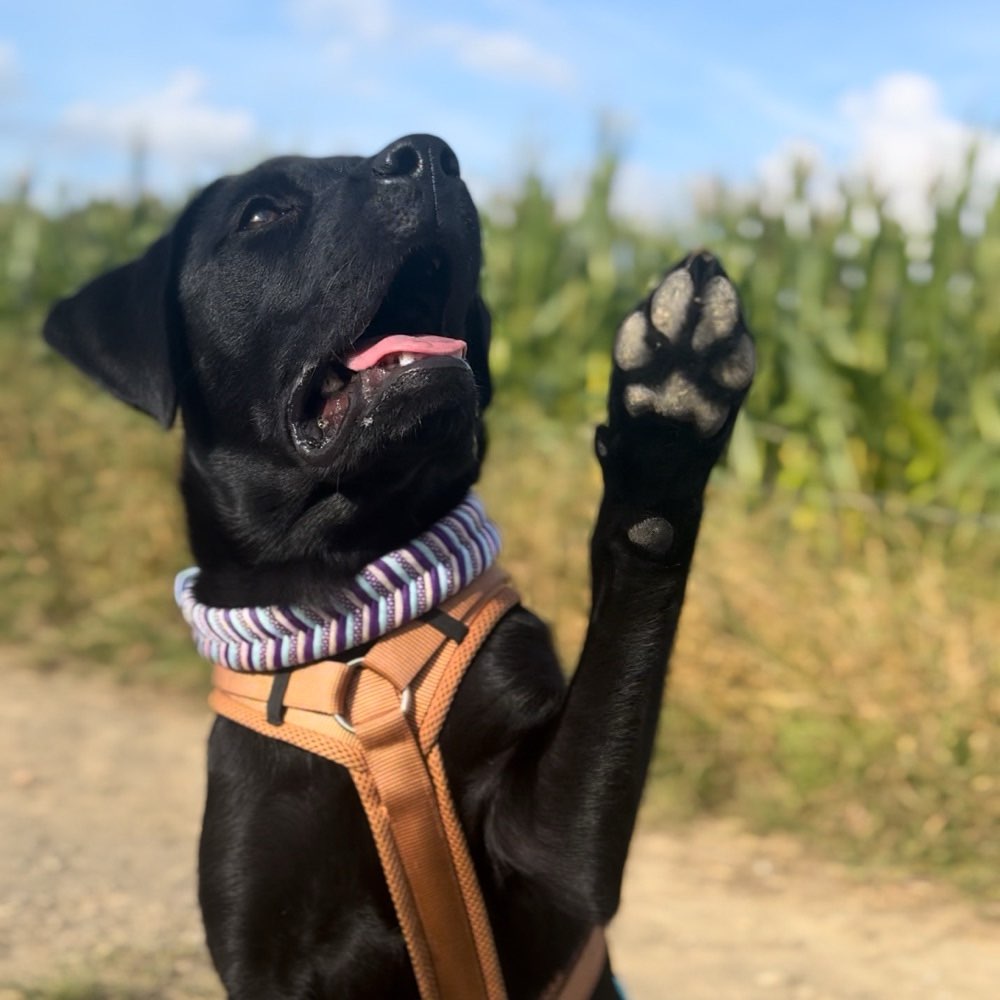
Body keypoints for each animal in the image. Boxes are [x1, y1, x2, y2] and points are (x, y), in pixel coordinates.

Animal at [43, 135, 752, 1000]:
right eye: (261, 213)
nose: (430, 156)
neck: (350, 615)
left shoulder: (553, 857)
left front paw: (672, 406)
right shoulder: (263, 944)